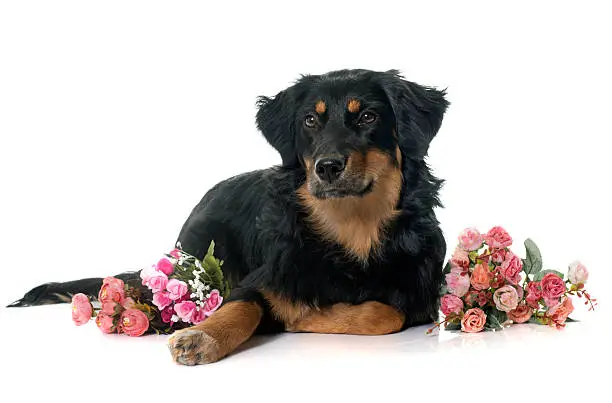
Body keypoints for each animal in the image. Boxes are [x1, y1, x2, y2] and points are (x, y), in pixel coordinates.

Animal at [9, 68, 450, 366]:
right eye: (310, 120)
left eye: (368, 117)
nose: (327, 167)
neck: (351, 229)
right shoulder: (260, 278)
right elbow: (243, 305)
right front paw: (202, 336)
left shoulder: (420, 293)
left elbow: (384, 312)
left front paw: (299, 315)